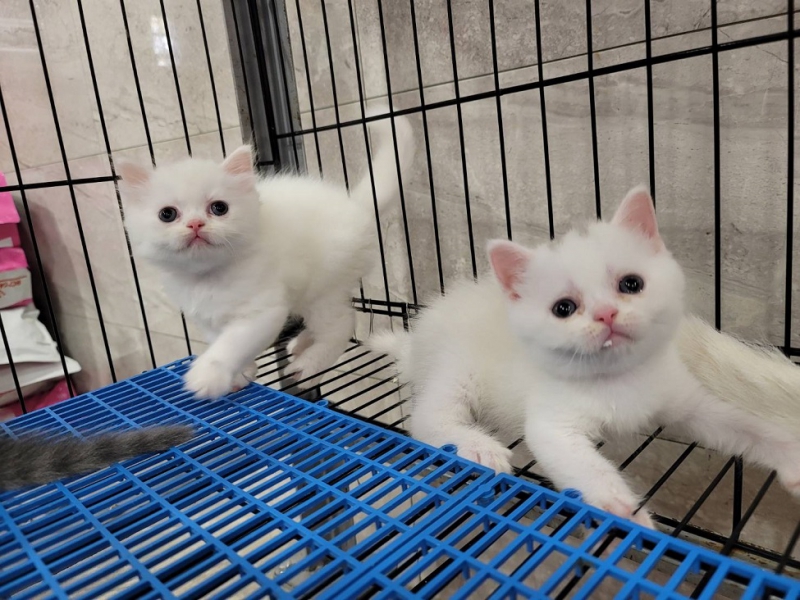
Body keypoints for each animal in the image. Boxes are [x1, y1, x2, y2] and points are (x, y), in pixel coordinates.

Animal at [118, 111, 414, 399]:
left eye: (219, 208)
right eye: (167, 214)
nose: (195, 224)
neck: (207, 279)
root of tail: (355, 206)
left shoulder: (263, 310)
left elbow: (231, 344)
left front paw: (207, 376)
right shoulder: (207, 318)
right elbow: (219, 340)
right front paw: (241, 372)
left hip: (323, 287)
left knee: (342, 325)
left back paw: (308, 366)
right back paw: (301, 343)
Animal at [369, 187, 800, 528]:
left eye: (631, 284)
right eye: (564, 308)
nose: (606, 314)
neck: (618, 378)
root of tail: (417, 337)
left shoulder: (687, 400)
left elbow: (742, 425)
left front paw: (792, 458)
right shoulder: (552, 423)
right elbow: (585, 466)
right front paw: (623, 510)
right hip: (456, 365)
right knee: (428, 417)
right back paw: (478, 447)